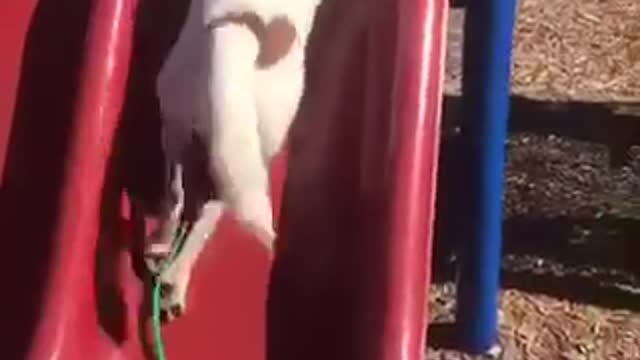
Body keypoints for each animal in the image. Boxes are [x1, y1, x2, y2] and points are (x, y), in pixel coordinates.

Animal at [148, 0, 322, 320]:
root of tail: (247, 32)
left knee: (184, 203)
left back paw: (164, 258)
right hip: (233, 146)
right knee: (196, 205)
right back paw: (170, 272)